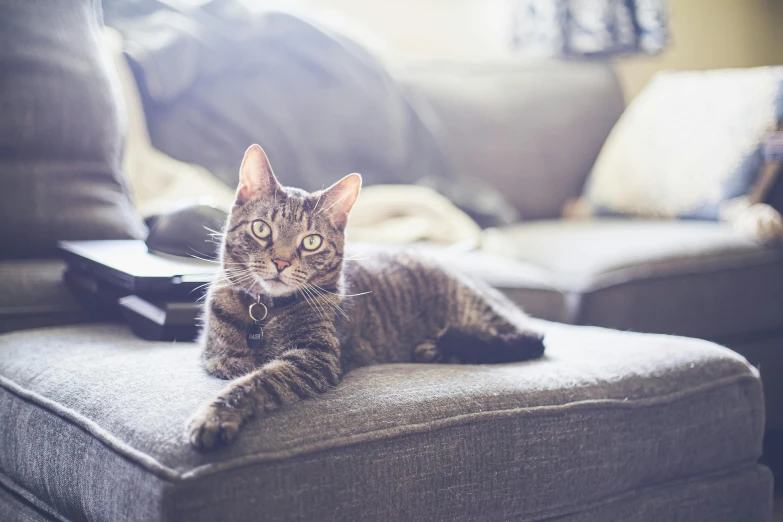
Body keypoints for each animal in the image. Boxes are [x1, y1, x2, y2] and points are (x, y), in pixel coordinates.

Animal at [188, 143, 548, 446]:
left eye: (311, 242)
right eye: (261, 228)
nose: (281, 262)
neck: (265, 311)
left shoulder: (316, 357)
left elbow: (258, 381)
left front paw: (215, 415)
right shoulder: (215, 352)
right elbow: (235, 363)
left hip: (478, 311)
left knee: (529, 339)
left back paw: (442, 345)